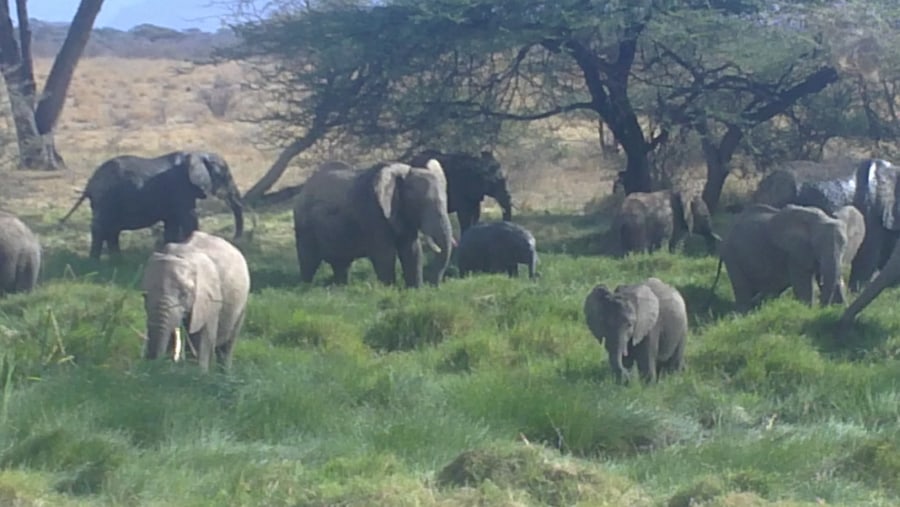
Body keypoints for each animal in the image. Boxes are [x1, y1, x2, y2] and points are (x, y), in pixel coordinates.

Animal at [59, 151, 244, 260]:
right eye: (225, 176)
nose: (235, 239)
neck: (197, 154)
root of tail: (90, 184)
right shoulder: (181, 188)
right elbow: (189, 218)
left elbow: (172, 223)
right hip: (106, 200)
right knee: (101, 229)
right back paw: (96, 263)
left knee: (111, 231)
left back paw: (117, 261)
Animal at [140, 231, 250, 374]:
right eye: (144, 296)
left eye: (184, 294)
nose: (150, 362)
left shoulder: (209, 298)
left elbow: (202, 337)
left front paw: (199, 374)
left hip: (242, 303)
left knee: (227, 343)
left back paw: (225, 374)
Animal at [292, 159, 454, 288]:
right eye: (420, 204)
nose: (432, 285)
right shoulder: (372, 212)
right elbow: (385, 254)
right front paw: (389, 290)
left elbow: (412, 251)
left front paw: (415, 291)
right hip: (303, 225)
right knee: (309, 262)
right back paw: (306, 288)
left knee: (341, 264)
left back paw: (340, 288)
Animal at [708, 204, 860, 312]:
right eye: (816, 245)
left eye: (845, 247)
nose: (823, 308)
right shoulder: (794, 253)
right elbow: (803, 285)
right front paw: (808, 311)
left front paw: (839, 309)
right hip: (731, 254)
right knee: (742, 288)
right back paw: (743, 314)